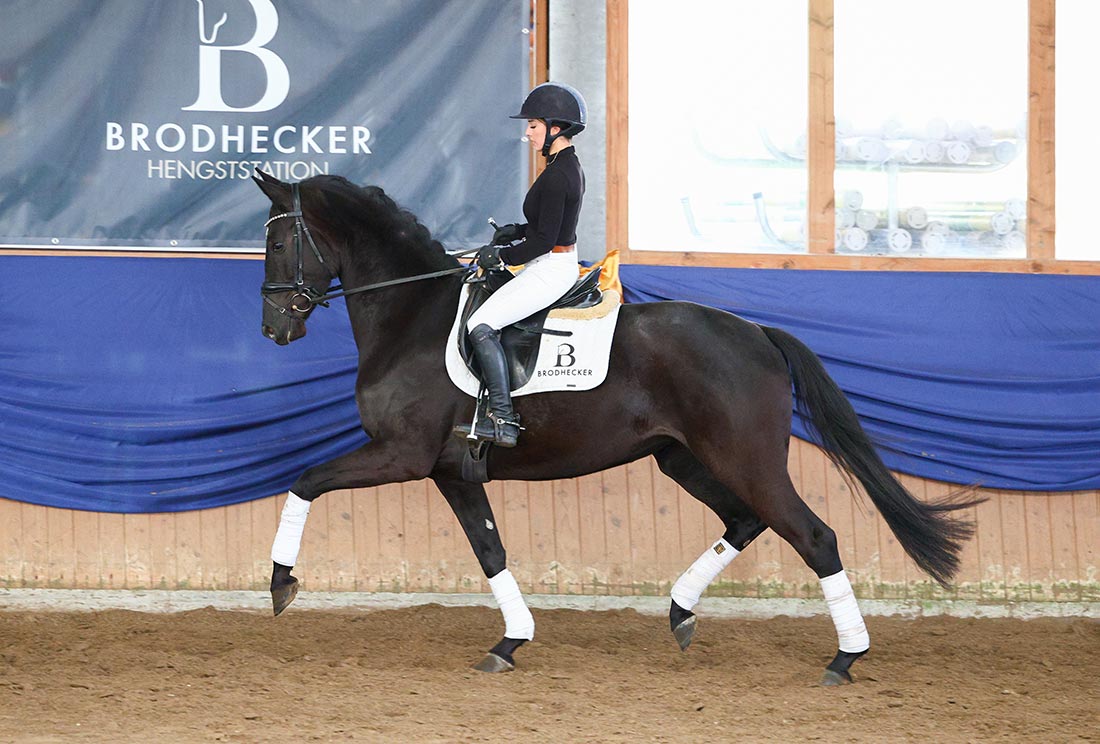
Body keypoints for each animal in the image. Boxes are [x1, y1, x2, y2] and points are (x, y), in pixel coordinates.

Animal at [251, 171, 981, 682]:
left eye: (279, 241)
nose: (273, 328)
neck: (413, 318)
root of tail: (758, 333)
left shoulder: (400, 454)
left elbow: (306, 480)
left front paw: (282, 584)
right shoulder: (452, 470)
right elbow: (491, 552)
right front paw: (511, 642)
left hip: (746, 459)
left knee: (814, 536)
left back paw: (845, 658)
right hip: (682, 458)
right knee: (744, 520)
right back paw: (682, 613)